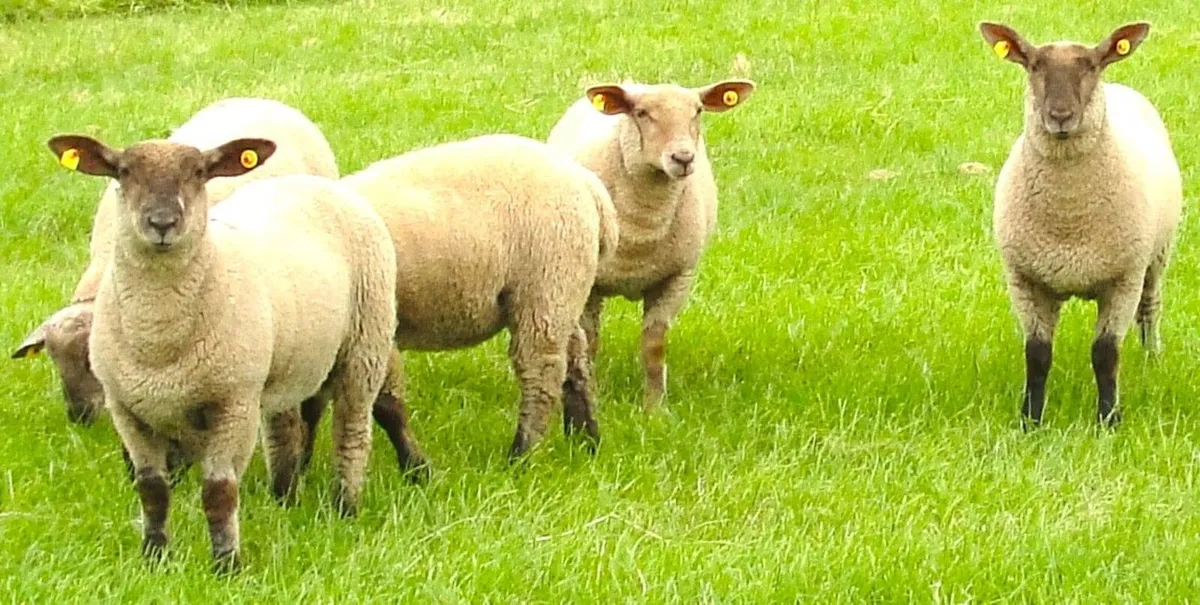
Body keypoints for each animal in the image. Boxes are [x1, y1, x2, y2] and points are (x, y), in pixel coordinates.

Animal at [46, 133, 394, 572]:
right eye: (123, 171)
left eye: (199, 172)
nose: (162, 224)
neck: (159, 343)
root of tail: (319, 185)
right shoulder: (128, 410)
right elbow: (152, 490)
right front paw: (155, 558)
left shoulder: (233, 404)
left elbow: (219, 491)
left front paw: (226, 565)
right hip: (284, 361)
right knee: (284, 430)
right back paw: (284, 499)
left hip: (364, 344)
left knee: (351, 431)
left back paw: (345, 507)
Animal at [341, 133, 617, 460]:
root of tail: (589, 186)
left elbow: (387, 406)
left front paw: (415, 464)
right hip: (562, 291)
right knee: (576, 359)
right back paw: (585, 439)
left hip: (547, 280)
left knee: (541, 369)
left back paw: (521, 455)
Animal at [546, 78, 755, 412]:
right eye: (642, 113)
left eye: (698, 111)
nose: (683, 158)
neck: (641, 232)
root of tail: (631, 83)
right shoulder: (592, 284)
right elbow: (591, 341)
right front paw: (593, 394)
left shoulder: (678, 277)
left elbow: (654, 344)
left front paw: (654, 408)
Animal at [979, 21, 1183, 427]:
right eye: (1034, 65)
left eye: (1090, 65)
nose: (1060, 115)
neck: (1069, 221)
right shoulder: (1025, 279)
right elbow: (1037, 354)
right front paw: (1030, 420)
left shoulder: (1123, 278)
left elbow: (1105, 353)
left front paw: (1108, 420)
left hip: (1156, 256)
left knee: (1150, 308)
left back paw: (1151, 359)